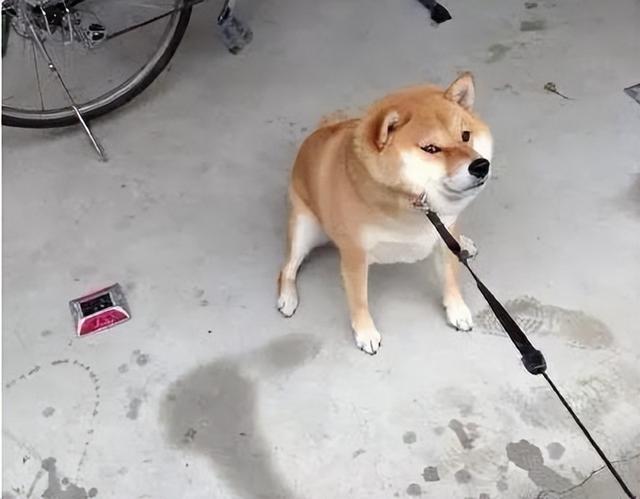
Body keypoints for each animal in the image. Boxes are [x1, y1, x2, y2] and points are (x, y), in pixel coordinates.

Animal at [277, 73, 493, 354]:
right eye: (431, 149)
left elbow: (450, 279)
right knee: (287, 268)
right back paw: (287, 297)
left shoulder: (443, 234)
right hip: (304, 230)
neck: (414, 206)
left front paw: (457, 311)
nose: (481, 165)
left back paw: (463, 243)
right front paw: (365, 333)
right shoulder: (355, 255)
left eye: (466, 135)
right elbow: (359, 300)